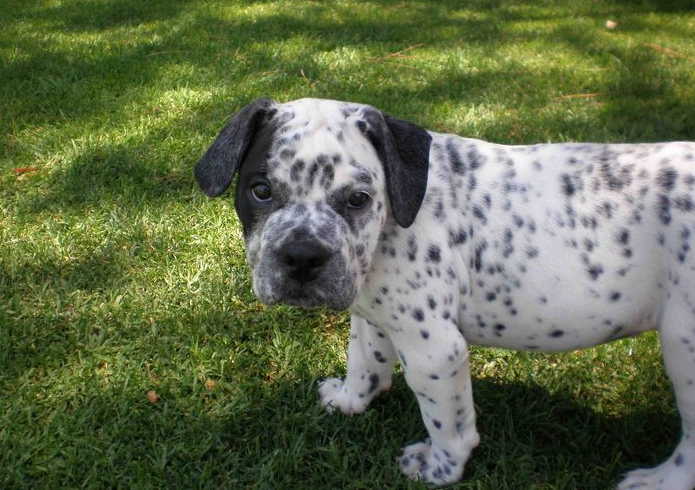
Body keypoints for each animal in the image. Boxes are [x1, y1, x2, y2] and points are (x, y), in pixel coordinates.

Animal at [194, 97, 695, 488]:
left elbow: (446, 422)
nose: (301, 256)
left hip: (682, 348)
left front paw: (441, 467)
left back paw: (660, 480)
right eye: (260, 191)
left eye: (358, 199)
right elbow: (364, 361)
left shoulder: (435, 352)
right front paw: (350, 401)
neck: (390, 227)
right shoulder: (371, 314)